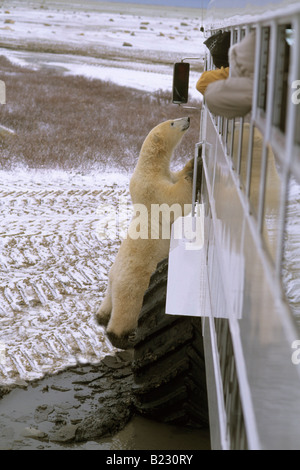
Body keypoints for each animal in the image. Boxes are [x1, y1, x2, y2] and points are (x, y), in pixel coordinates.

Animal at [96, 118, 195, 348]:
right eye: (172, 122)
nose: (187, 118)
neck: (149, 168)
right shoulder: (152, 189)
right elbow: (174, 201)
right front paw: (194, 165)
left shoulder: (164, 177)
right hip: (135, 285)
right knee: (127, 310)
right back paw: (121, 335)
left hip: (111, 283)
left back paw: (101, 316)